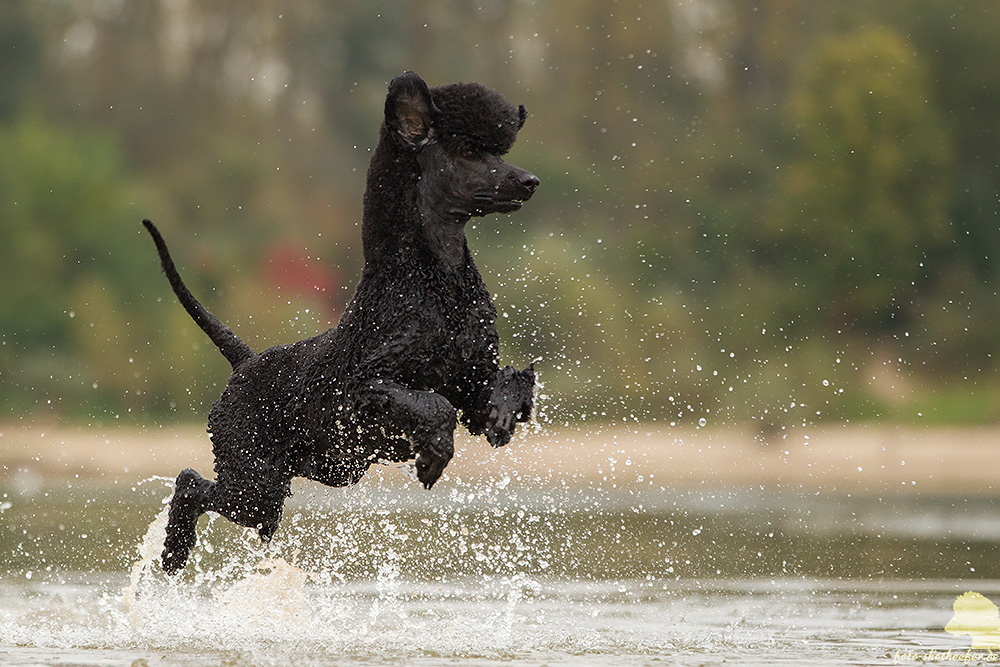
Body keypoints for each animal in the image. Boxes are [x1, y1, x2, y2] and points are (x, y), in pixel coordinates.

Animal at [143, 72, 540, 576]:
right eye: (468, 150)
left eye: (498, 151)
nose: (529, 181)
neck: (428, 282)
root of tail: (245, 363)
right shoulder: (364, 391)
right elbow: (432, 405)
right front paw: (433, 455)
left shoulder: (471, 383)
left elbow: (506, 386)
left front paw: (502, 417)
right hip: (253, 481)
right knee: (189, 483)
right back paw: (174, 551)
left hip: (282, 486)